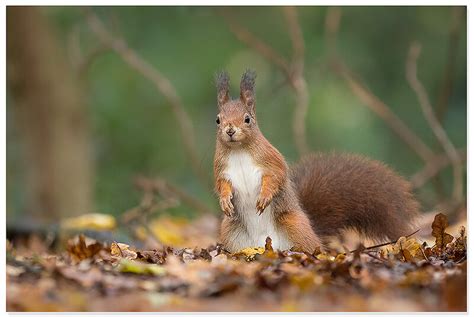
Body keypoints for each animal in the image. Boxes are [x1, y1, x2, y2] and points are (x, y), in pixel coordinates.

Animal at [214, 69, 418, 252]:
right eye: (218, 120)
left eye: (247, 119)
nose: (230, 130)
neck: (239, 151)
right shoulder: (221, 169)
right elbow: (222, 184)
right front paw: (225, 201)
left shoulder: (271, 159)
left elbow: (275, 176)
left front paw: (264, 197)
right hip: (231, 232)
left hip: (295, 226)